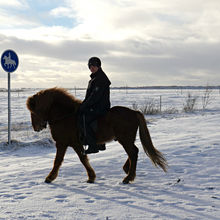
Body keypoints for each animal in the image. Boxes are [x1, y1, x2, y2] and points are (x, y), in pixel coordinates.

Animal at [26, 87, 168, 184]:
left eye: (33, 111)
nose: (35, 128)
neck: (65, 116)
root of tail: (133, 112)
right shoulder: (73, 144)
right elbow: (83, 159)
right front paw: (91, 176)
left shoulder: (63, 143)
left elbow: (59, 161)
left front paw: (50, 177)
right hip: (126, 139)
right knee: (133, 152)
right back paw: (127, 170)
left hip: (125, 139)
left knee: (133, 153)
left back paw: (128, 177)